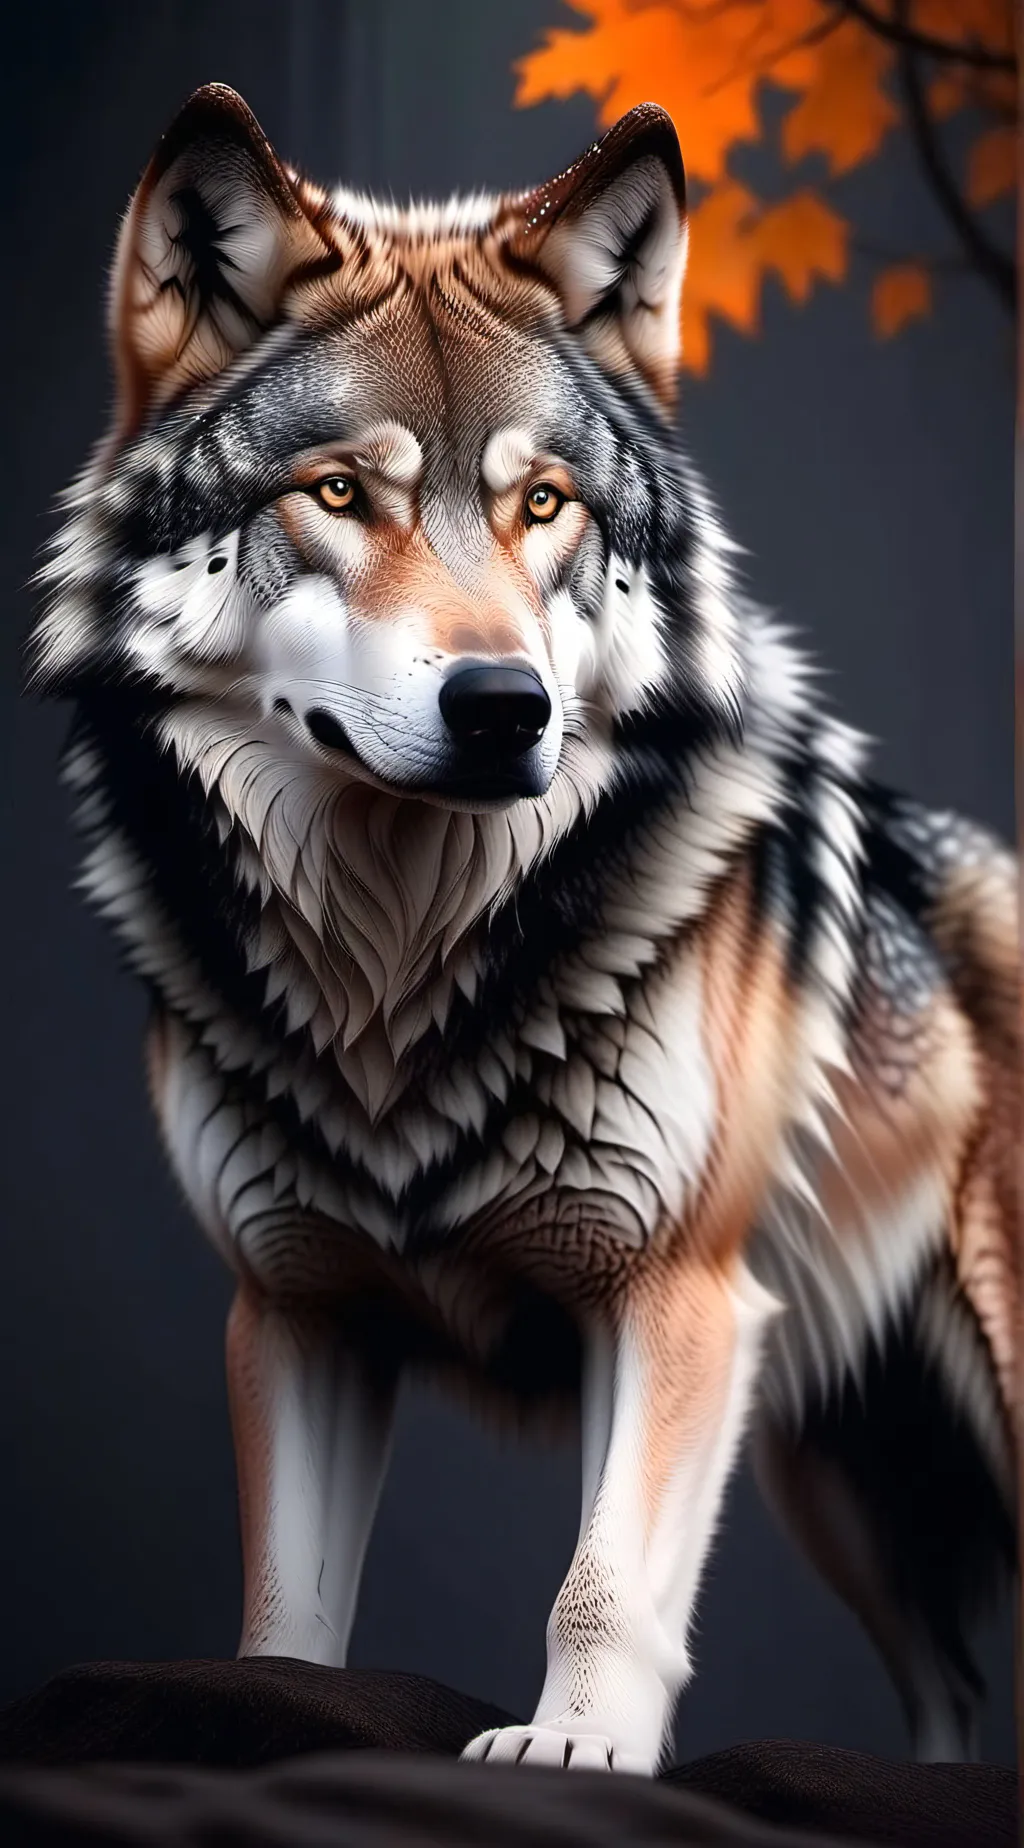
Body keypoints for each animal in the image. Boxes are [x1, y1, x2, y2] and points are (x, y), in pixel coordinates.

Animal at [29, 83, 1017, 1774]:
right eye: (341, 493)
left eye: (541, 504)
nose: (504, 707)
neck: (398, 968)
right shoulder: (296, 1311)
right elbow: (287, 1620)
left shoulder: (675, 1296)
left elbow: (603, 1584)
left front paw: (574, 1752)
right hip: (845, 1476)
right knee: (953, 1694)